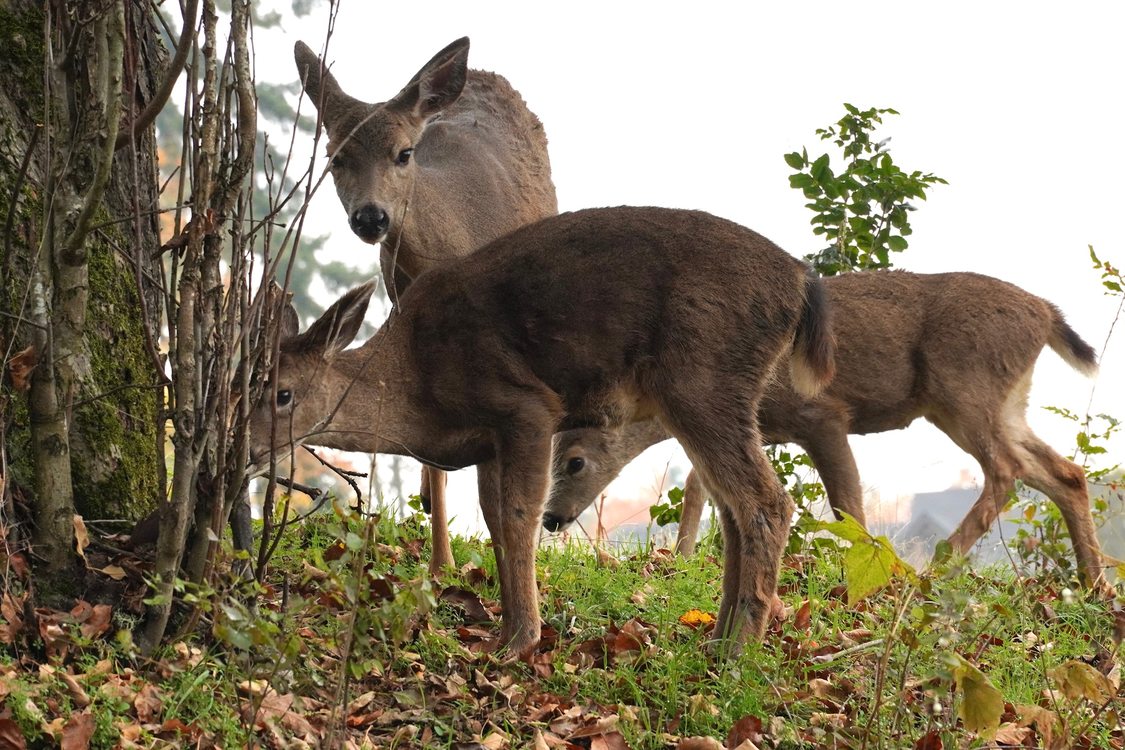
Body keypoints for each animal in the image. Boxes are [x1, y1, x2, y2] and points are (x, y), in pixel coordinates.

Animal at [250, 205, 841, 656]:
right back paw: (717, 638)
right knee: (733, 508)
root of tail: (801, 285)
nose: (248, 450)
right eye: (241, 379)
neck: (417, 383)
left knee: (765, 503)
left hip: (703, 378)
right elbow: (493, 517)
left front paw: (520, 641)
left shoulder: (526, 406)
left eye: (283, 394)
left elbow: (518, 515)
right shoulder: (489, 438)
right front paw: (505, 628)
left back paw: (738, 651)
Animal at [542, 269, 1107, 593]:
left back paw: (937, 565)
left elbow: (847, 505)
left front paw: (865, 573)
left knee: (1006, 469)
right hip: (1003, 403)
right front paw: (681, 558)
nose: (551, 518)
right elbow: (700, 487)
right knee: (1065, 473)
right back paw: (1094, 582)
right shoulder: (759, 426)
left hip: (964, 388)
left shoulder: (824, 415)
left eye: (574, 460)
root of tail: (1045, 314)